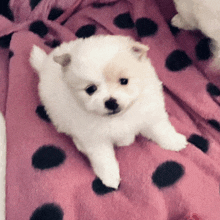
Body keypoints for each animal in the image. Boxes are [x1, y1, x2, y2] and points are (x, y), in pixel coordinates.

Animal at [29, 35, 187, 188]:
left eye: (124, 81)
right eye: (91, 89)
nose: (111, 102)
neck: (117, 117)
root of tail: (45, 64)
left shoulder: (148, 113)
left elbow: (160, 129)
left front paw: (174, 141)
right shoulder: (95, 139)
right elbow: (104, 159)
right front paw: (110, 177)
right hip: (57, 113)